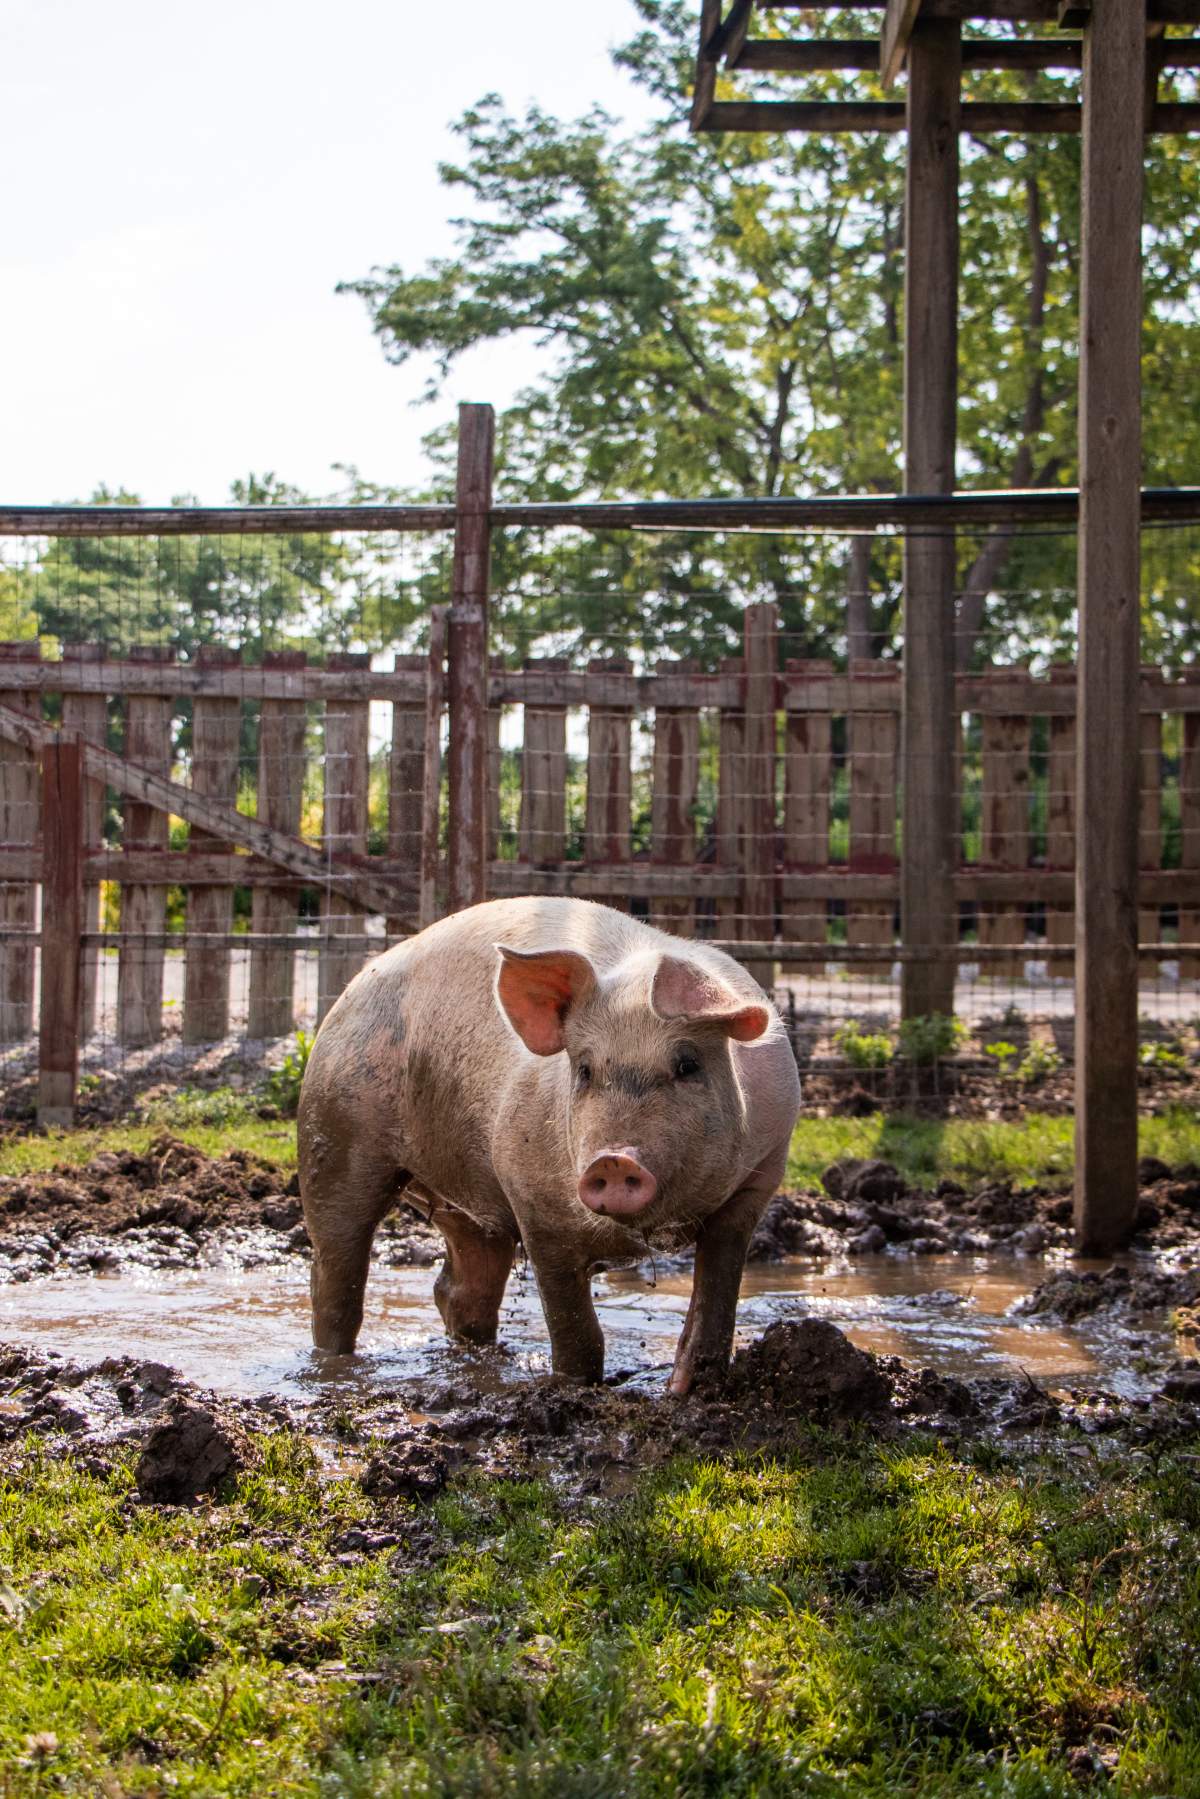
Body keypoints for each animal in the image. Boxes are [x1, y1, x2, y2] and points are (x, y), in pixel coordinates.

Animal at [298, 896, 800, 1391]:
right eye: (585, 1070)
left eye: (688, 1065)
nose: (614, 1161)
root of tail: (357, 983)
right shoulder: (531, 1198)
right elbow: (575, 1328)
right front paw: (573, 1388)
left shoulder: (758, 1178)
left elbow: (715, 1303)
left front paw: (688, 1391)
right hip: (331, 1133)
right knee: (336, 1273)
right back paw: (333, 1363)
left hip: (466, 1204)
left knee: (460, 1288)